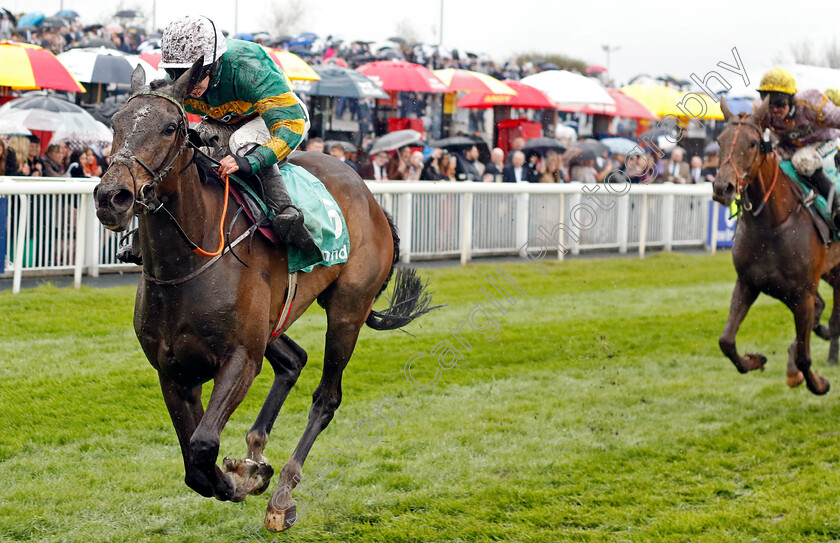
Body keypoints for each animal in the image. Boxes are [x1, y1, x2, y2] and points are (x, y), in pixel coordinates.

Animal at [93, 62, 434, 532]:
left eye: (169, 127)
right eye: (115, 123)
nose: (113, 197)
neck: (188, 262)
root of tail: (369, 195)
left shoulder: (240, 358)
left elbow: (203, 444)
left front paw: (249, 479)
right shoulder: (173, 370)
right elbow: (194, 463)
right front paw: (245, 471)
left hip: (347, 309)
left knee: (326, 398)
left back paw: (283, 492)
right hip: (274, 319)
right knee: (293, 360)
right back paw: (256, 448)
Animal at [712, 98, 840, 396]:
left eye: (751, 143)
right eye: (720, 140)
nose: (723, 187)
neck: (771, 224)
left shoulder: (802, 294)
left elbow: (805, 355)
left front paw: (818, 383)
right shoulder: (747, 283)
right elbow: (726, 341)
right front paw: (754, 360)